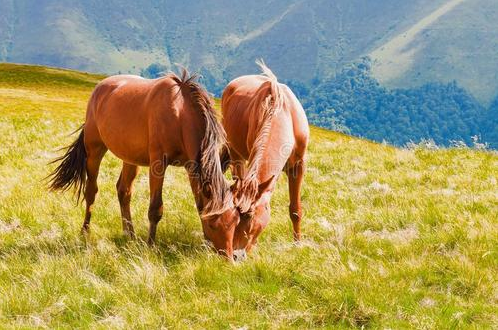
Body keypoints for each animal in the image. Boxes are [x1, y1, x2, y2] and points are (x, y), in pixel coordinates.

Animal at [49, 69, 241, 260]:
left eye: (235, 221)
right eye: (214, 224)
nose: (228, 258)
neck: (179, 112)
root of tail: (99, 88)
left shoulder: (191, 166)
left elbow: (200, 205)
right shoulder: (158, 163)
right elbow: (156, 209)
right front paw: (150, 245)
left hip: (130, 158)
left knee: (123, 191)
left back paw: (130, 234)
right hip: (94, 150)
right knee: (91, 192)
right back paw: (85, 232)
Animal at [221, 60, 308, 254]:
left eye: (251, 215)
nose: (236, 254)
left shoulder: (298, 165)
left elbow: (296, 209)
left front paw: (298, 244)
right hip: (235, 150)